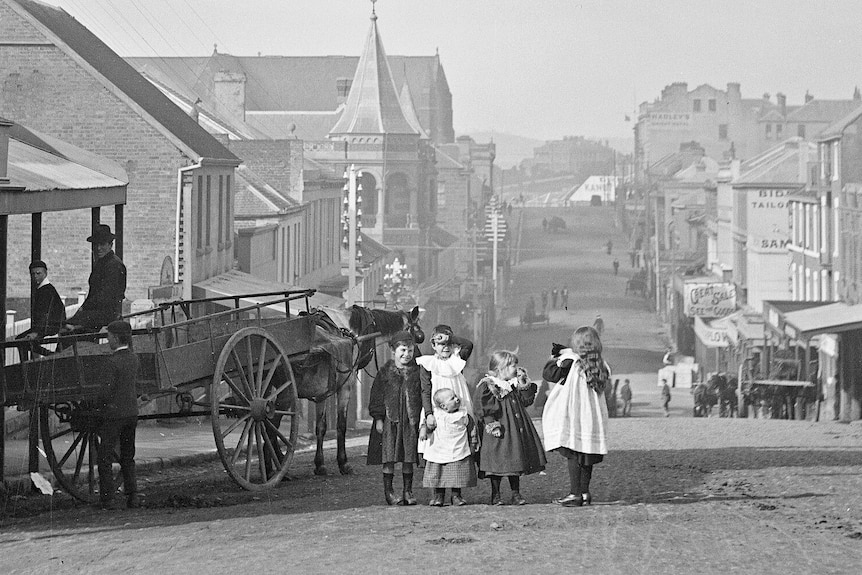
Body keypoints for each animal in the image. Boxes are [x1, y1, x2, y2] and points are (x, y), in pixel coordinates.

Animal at [290, 306, 426, 476]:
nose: (418, 358)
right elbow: (341, 425)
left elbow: (321, 427)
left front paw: (320, 464)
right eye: (418, 336)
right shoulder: (346, 385)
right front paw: (343, 463)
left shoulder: (321, 391)